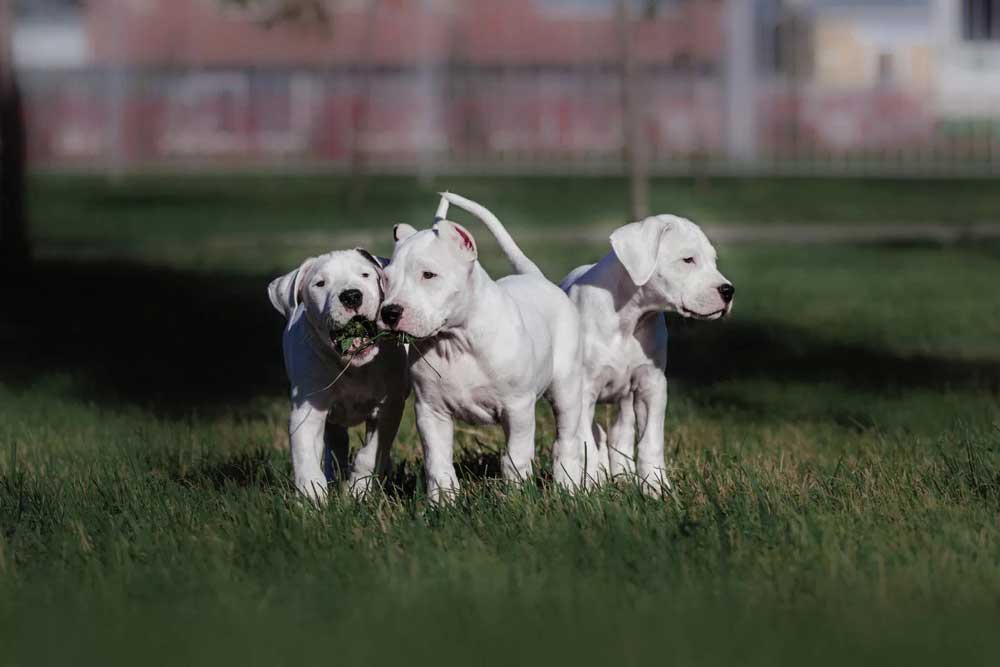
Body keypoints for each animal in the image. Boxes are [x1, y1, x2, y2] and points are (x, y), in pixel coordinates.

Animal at [268, 249, 408, 500]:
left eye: (365, 274)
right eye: (320, 283)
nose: (351, 296)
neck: (353, 366)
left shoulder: (388, 408)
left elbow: (369, 454)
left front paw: (359, 491)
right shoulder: (306, 411)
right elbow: (305, 455)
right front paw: (311, 497)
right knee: (336, 444)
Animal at [376, 193, 592, 500]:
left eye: (428, 275)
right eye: (385, 279)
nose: (390, 312)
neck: (455, 342)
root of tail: (536, 278)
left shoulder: (518, 408)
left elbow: (515, 458)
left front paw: (517, 499)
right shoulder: (430, 411)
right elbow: (437, 462)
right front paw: (442, 502)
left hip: (566, 388)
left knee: (566, 442)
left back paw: (568, 488)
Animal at [564, 215, 736, 496]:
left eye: (714, 260)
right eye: (688, 260)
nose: (729, 291)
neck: (628, 319)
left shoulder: (651, 386)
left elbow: (650, 441)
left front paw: (656, 487)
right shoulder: (584, 389)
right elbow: (585, 440)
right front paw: (589, 488)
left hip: (625, 395)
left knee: (620, 432)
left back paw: (623, 476)